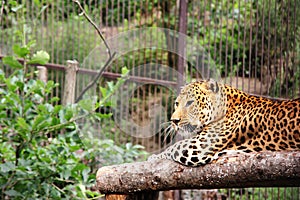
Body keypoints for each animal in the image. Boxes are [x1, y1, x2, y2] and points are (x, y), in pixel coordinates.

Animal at [149, 79, 300, 166]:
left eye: (190, 103)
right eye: (177, 103)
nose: (174, 121)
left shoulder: (198, 147)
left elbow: (173, 147)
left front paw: (154, 157)